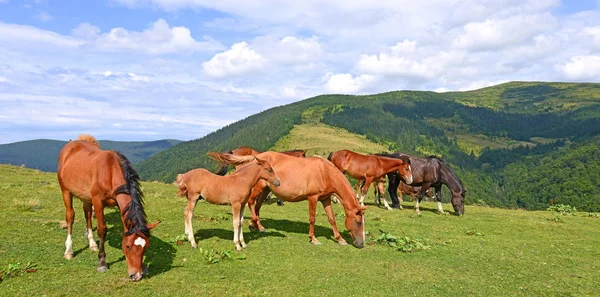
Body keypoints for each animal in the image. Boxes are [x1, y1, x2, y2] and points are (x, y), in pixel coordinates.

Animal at [56, 134, 158, 280]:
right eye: (127, 246)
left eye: (146, 246)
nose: (136, 275)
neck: (110, 172)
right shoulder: (98, 202)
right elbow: (102, 230)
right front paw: (102, 262)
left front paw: (143, 266)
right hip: (66, 191)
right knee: (70, 216)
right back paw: (69, 250)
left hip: (86, 196)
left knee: (87, 214)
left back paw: (92, 243)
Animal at [211, 150, 370, 247]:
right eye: (358, 222)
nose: (361, 244)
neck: (325, 172)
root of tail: (257, 157)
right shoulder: (313, 198)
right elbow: (312, 218)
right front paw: (313, 238)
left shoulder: (325, 199)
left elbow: (332, 219)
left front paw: (340, 239)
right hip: (259, 188)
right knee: (251, 203)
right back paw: (256, 225)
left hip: (266, 190)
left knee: (257, 206)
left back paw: (256, 226)